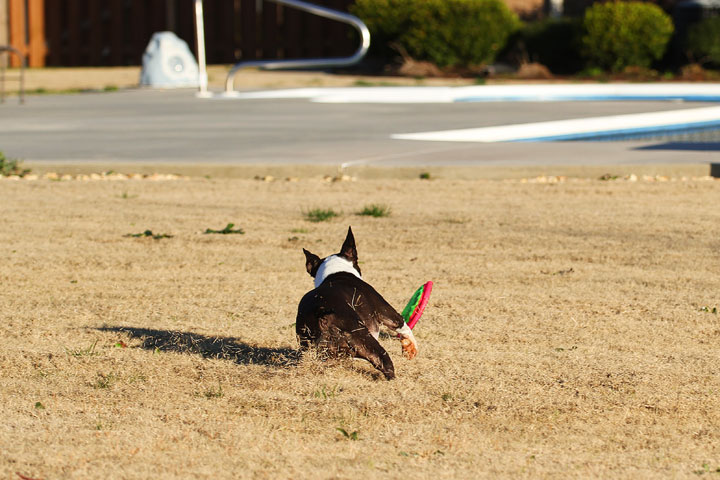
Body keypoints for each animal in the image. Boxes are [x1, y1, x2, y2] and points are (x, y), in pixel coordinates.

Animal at [296, 227, 420, 380]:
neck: (336, 271)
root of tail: (321, 313)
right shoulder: (385, 311)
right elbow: (403, 325)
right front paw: (410, 348)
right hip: (365, 339)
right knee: (384, 363)